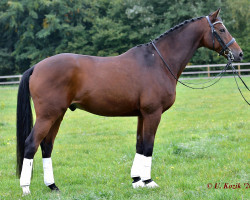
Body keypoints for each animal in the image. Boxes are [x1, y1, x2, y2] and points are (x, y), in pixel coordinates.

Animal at [16, 8, 242, 195]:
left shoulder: (142, 115)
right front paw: (149, 181)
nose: (238, 54)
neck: (158, 62)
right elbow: (149, 145)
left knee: (46, 145)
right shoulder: (153, 113)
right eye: (221, 29)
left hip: (58, 114)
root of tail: (36, 67)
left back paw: (53, 186)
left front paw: (136, 180)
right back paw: (25, 187)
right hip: (48, 115)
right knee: (31, 144)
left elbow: (139, 144)